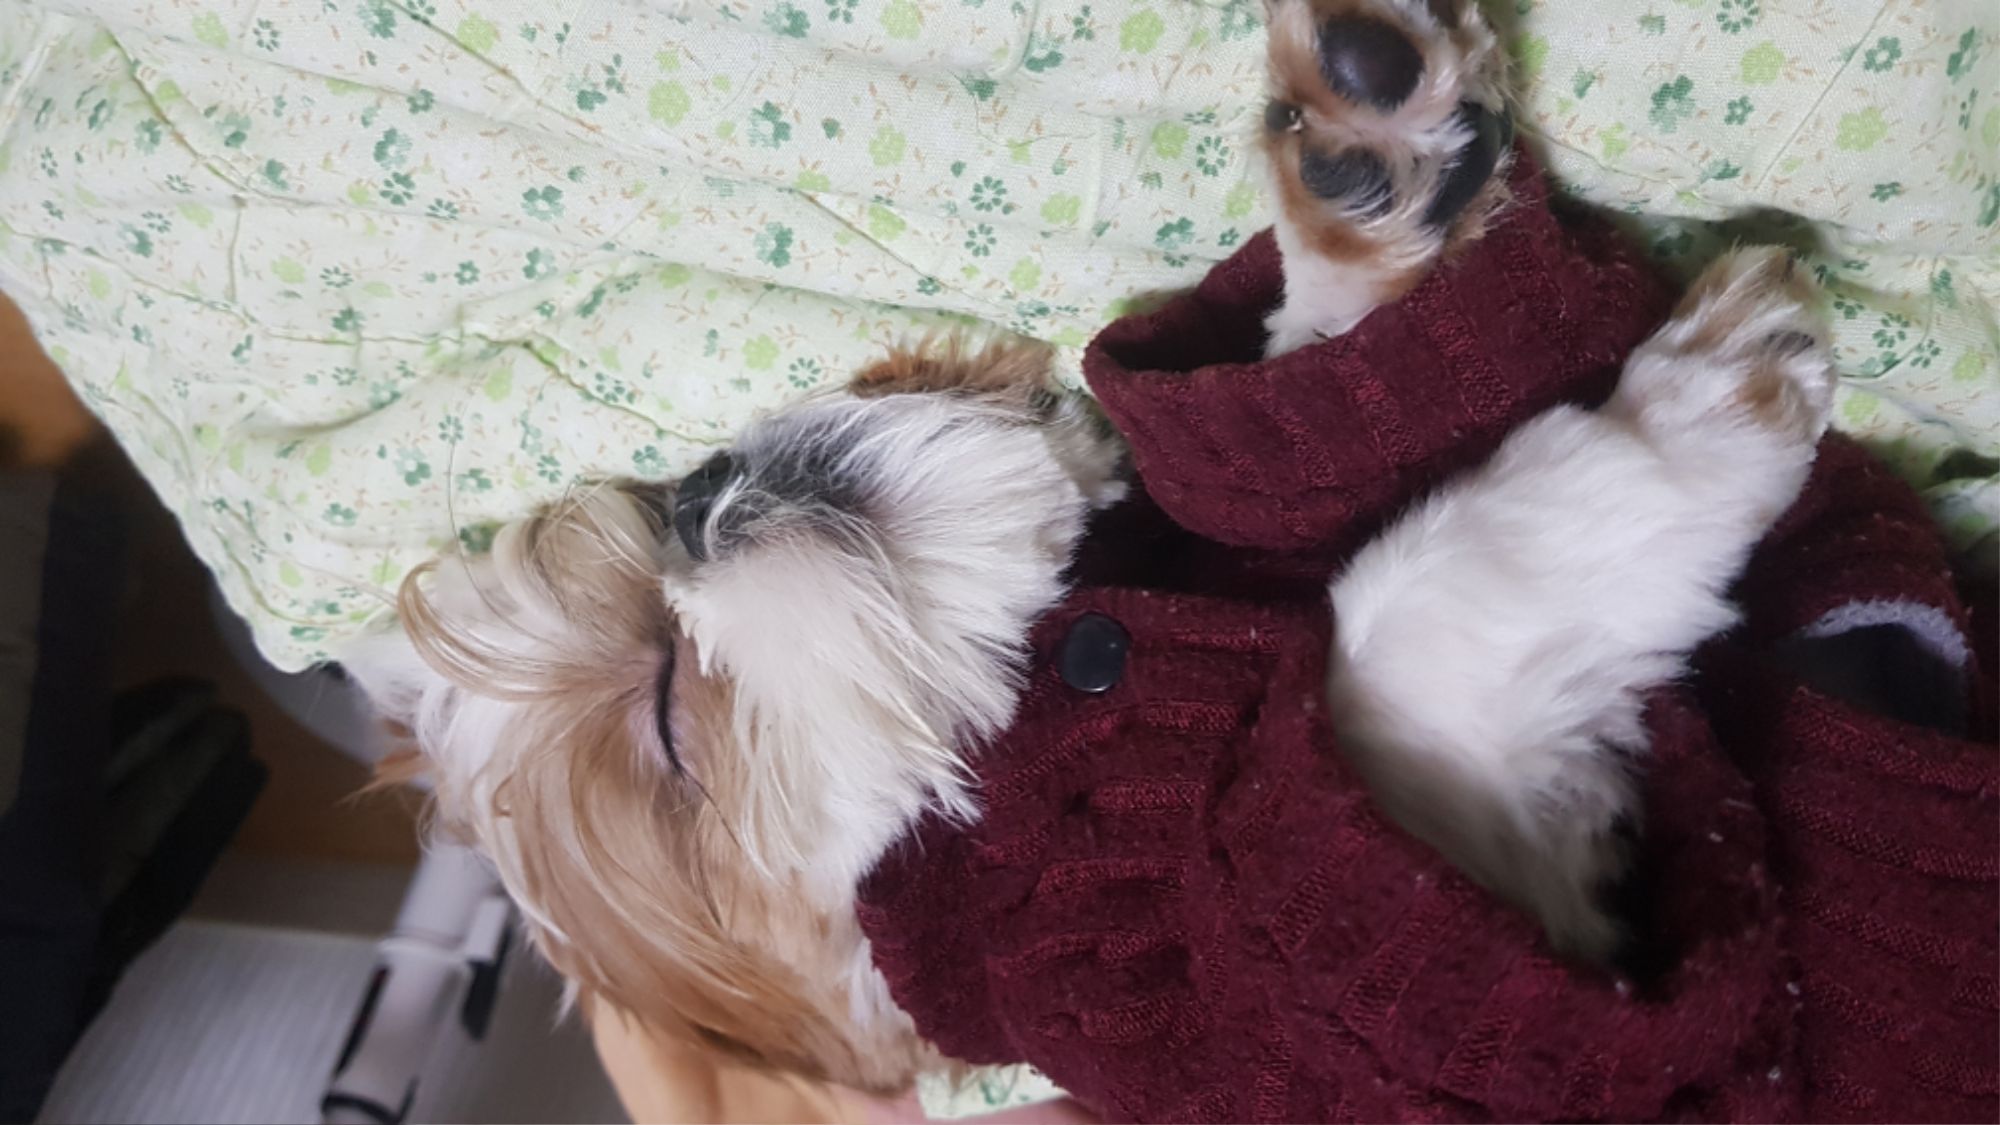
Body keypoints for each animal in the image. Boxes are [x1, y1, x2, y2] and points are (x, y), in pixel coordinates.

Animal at [343, 0, 1834, 1093]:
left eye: (659, 507)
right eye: (665, 717)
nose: (709, 493)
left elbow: (1306, 391)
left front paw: (1375, 165)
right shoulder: (1344, 995)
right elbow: (1394, 636)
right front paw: (1697, 406)